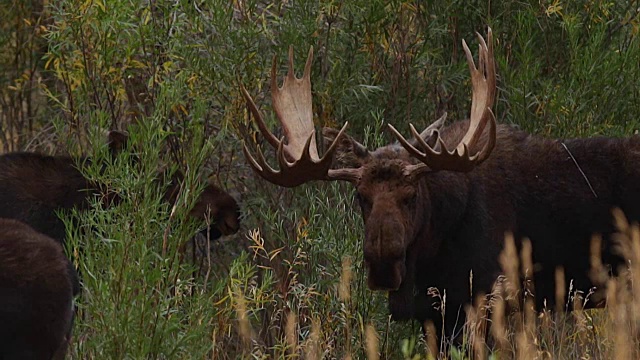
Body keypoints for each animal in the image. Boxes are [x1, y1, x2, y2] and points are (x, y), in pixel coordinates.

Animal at [240, 28, 640, 340]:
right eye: (360, 196)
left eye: (411, 196)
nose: (383, 262)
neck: (431, 253)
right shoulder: (435, 317)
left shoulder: (486, 299)